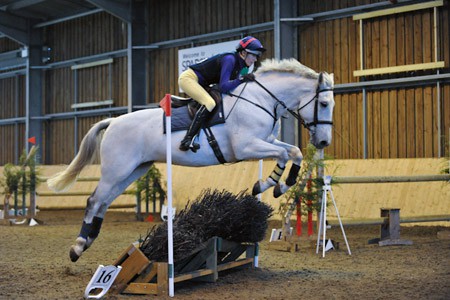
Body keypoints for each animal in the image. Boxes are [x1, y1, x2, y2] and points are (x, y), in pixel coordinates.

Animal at [47, 57, 334, 262]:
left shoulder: (266, 142)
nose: (323, 143)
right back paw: (77, 248)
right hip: (117, 170)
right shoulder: (246, 147)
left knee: (104, 202)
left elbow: (292, 151)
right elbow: (286, 153)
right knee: (94, 200)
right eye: (323, 104)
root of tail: (113, 121)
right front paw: (270, 185)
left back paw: (86, 243)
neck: (261, 99)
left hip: (133, 170)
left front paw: (274, 185)